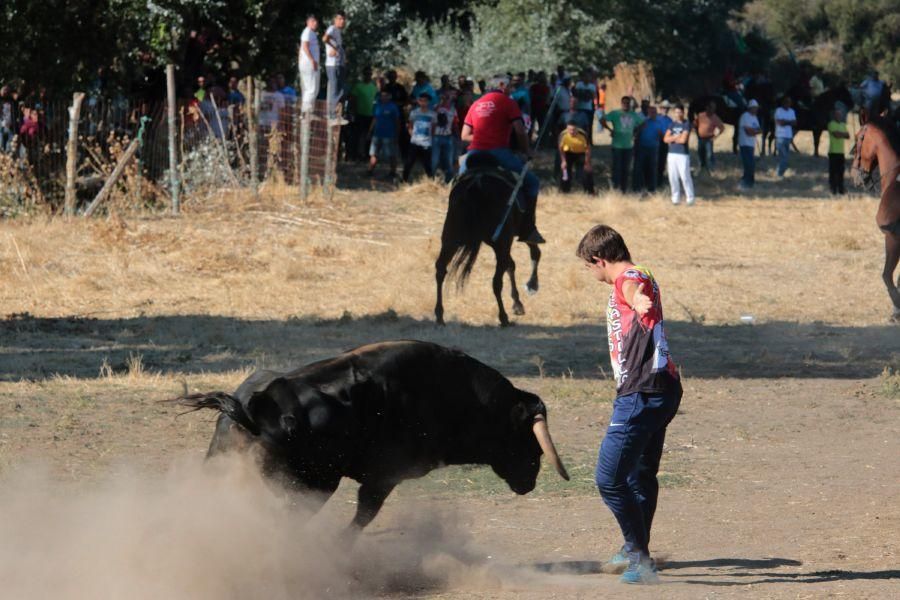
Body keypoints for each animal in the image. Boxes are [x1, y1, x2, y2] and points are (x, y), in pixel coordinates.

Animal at [177, 342, 568, 528]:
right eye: (525, 438)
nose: (530, 481)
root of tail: (254, 409)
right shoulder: (384, 477)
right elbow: (365, 514)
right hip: (311, 487)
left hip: (223, 468)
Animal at [436, 157, 540, 326]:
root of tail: (476, 185)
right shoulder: (511, 238)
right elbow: (532, 253)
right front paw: (531, 285)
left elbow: (511, 265)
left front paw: (518, 302)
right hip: (502, 241)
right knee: (496, 281)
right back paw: (503, 317)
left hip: (450, 238)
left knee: (440, 269)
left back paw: (439, 315)